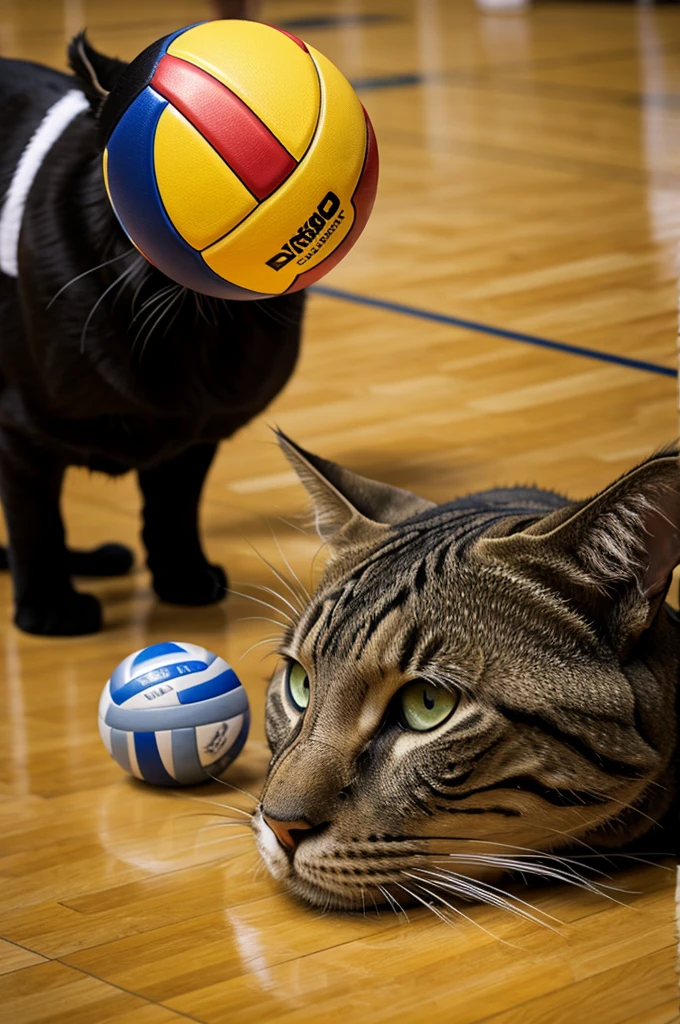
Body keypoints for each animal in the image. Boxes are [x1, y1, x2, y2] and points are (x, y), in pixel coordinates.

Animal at [0, 34, 305, 630]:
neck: (193, 325)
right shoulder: (20, 428)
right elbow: (35, 518)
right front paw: (49, 608)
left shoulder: (195, 432)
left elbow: (173, 506)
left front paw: (182, 577)